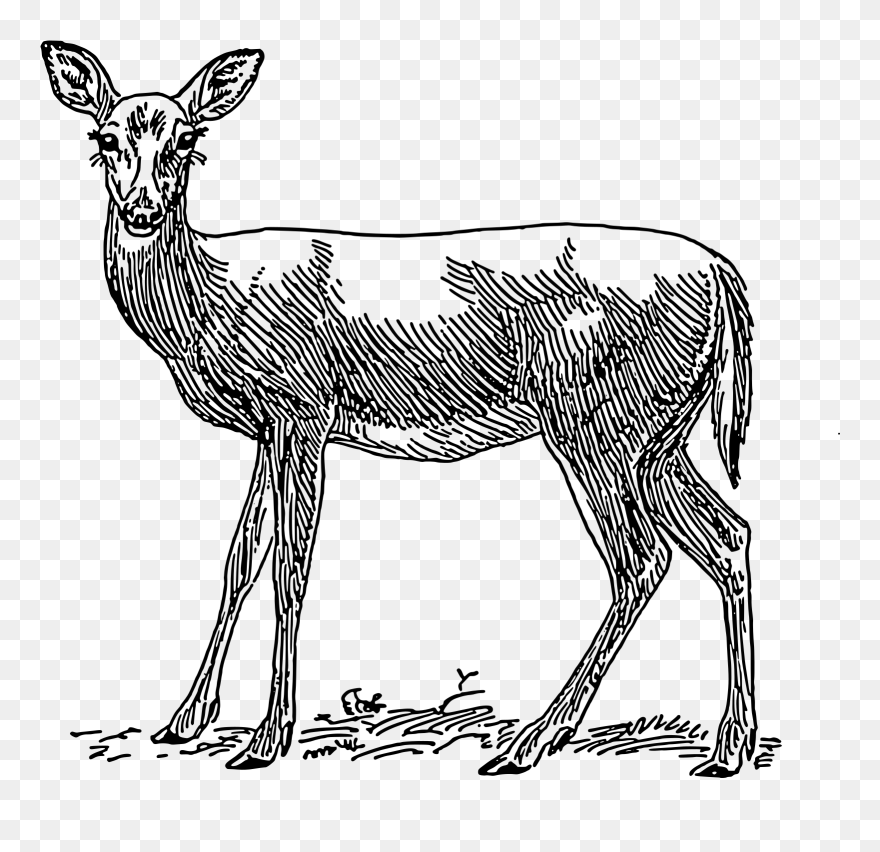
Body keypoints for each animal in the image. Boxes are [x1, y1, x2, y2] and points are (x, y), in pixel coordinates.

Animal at [42, 42, 757, 777]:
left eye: (187, 140)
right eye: (105, 138)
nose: (143, 211)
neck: (211, 302)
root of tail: (725, 280)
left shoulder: (303, 408)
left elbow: (290, 567)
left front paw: (267, 738)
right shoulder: (266, 429)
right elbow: (241, 559)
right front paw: (184, 720)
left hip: (598, 419)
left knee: (641, 560)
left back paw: (534, 739)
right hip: (660, 434)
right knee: (728, 537)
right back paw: (728, 746)